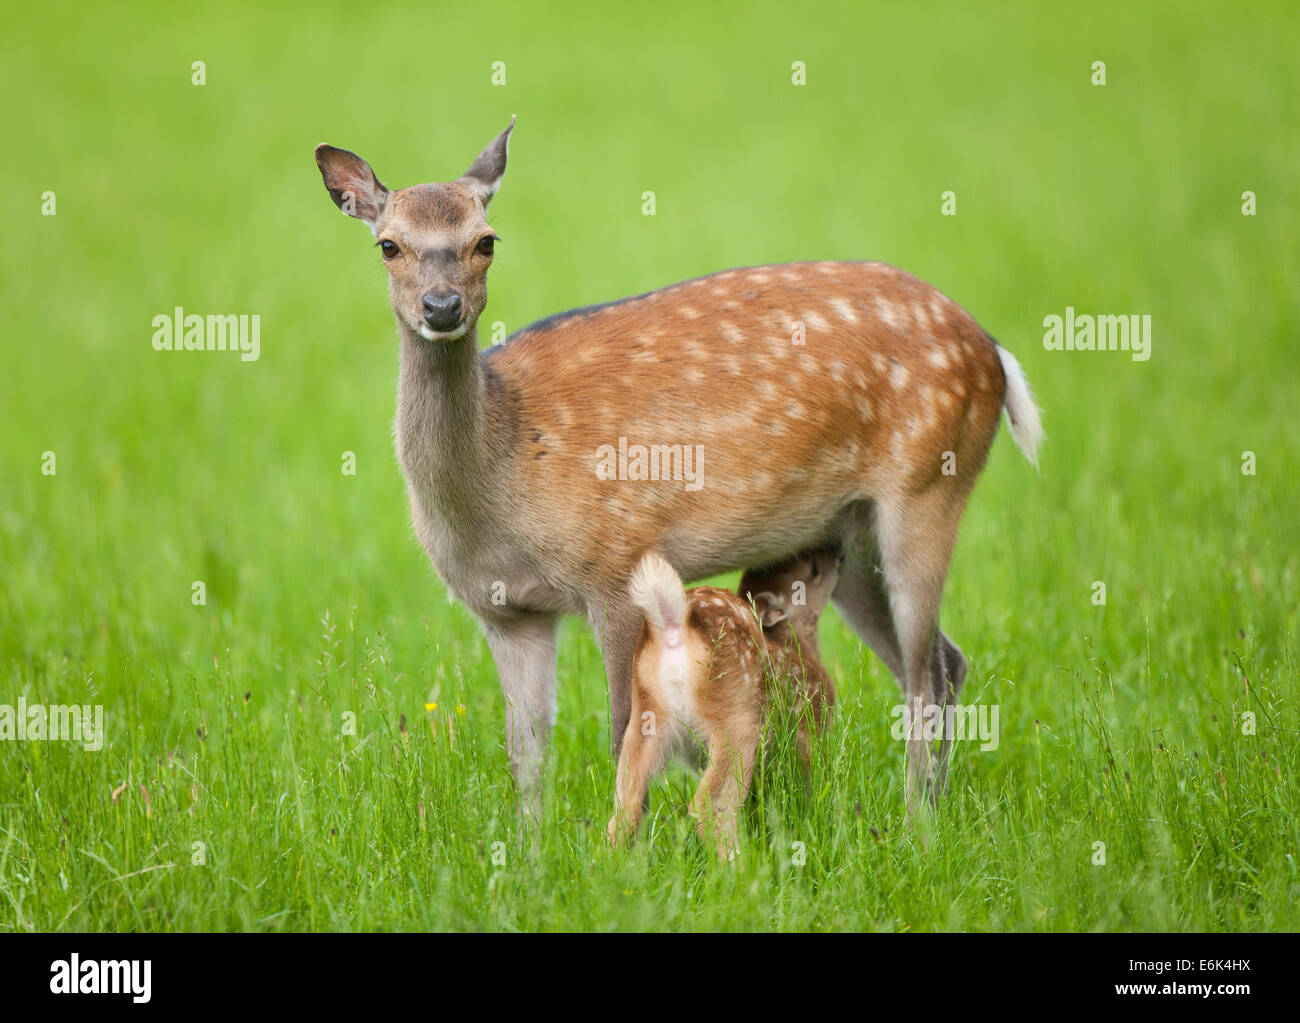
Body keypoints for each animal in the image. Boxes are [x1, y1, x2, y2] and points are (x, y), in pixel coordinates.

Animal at [314, 116, 1045, 821]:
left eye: (486, 240)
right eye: (389, 245)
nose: (442, 308)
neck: (503, 471)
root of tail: (993, 352)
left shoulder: (615, 563)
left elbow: (618, 731)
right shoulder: (504, 609)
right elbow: (525, 754)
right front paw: (528, 853)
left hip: (929, 484)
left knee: (927, 672)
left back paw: (917, 824)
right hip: (848, 531)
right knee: (944, 661)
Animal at [608, 551, 842, 857]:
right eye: (813, 569)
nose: (836, 552)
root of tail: (673, 623)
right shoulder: (811, 721)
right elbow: (814, 775)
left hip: (645, 719)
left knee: (626, 809)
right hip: (736, 718)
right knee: (710, 804)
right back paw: (740, 863)